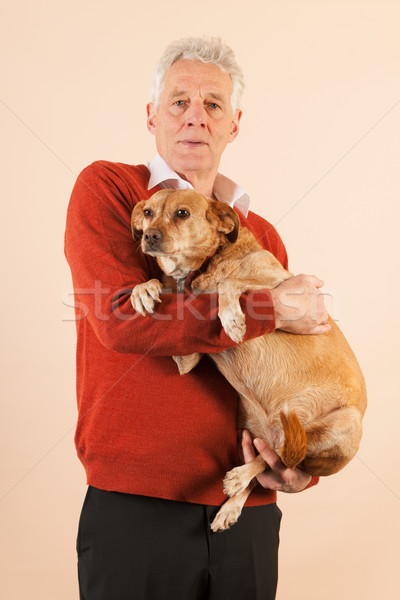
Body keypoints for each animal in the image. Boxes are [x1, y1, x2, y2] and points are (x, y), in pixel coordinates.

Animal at [130, 188, 366, 528]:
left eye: (182, 213)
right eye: (148, 212)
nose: (149, 235)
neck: (205, 267)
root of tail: (282, 432)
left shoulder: (288, 289)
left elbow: (232, 284)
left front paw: (231, 318)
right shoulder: (187, 358)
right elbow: (166, 289)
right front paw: (144, 289)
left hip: (345, 423)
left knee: (280, 460)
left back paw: (239, 478)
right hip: (250, 425)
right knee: (272, 458)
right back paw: (232, 505)